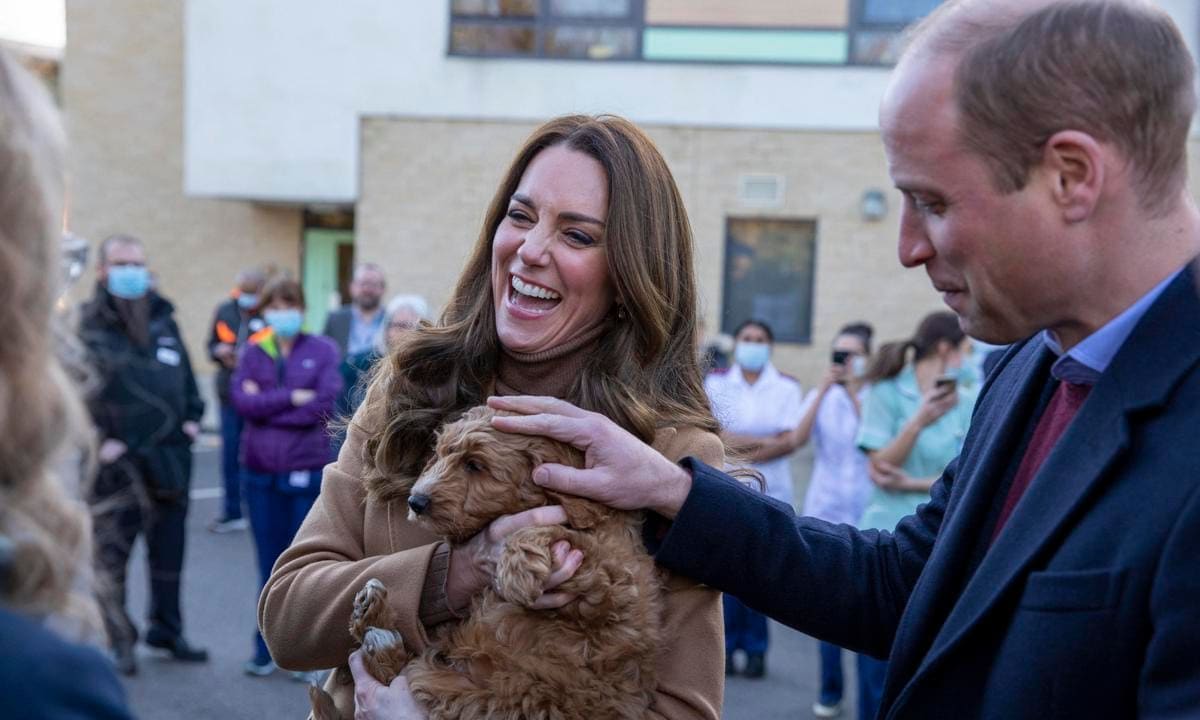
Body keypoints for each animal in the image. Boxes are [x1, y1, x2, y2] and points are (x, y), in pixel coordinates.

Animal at [309, 405, 667, 720]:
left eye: (474, 465)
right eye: (440, 454)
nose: (416, 501)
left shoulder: (614, 585)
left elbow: (570, 540)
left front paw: (517, 567)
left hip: (488, 695)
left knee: (413, 675)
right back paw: (372, 615)